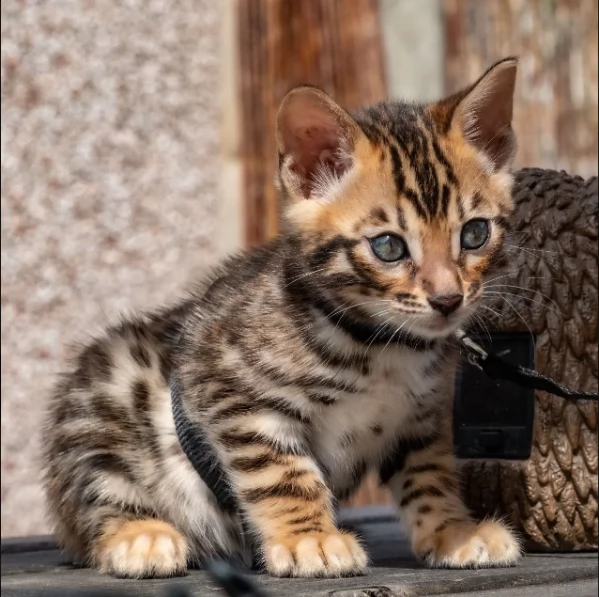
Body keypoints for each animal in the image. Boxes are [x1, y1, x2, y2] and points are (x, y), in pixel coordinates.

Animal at [41, 58, 520, 576]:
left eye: (474, 234)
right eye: (389, 247)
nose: (448, 299)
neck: (382, 344)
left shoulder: (420, 418)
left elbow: (429, 474)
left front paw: (453, 531)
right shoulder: (232, 393)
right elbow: (283, 473)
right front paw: (310, 538)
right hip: (108, 392)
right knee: (98, 492)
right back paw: (139, 535)